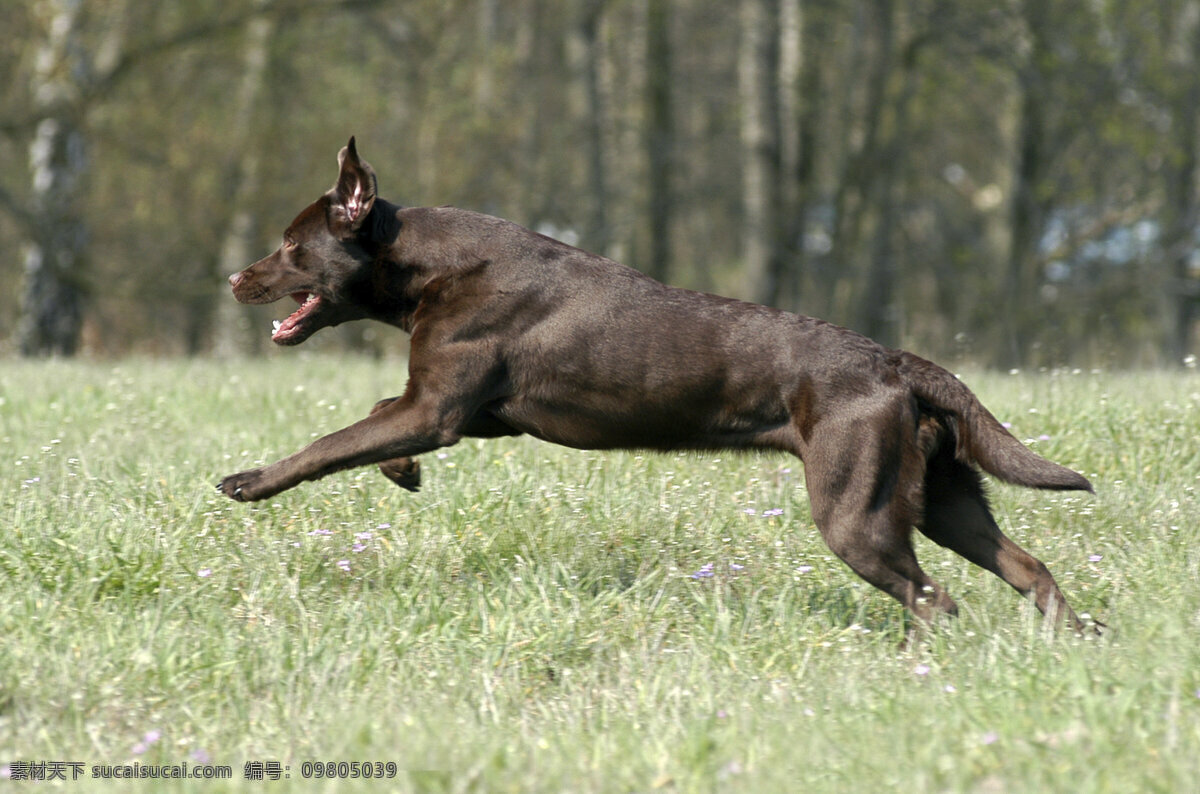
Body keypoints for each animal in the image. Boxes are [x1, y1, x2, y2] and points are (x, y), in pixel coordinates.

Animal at [220, 136, 1099, 633]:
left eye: (291, 247)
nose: (233, 277)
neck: (427, 265)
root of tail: (895, 362)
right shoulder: (471, 410)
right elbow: (372, 418)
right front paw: (401, 471)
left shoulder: (439, 407)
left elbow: (329, 442)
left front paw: (249, 481)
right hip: (945, 499)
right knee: (1028, 569)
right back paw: (1076, 639)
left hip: (857, 515)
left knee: (937, 601)